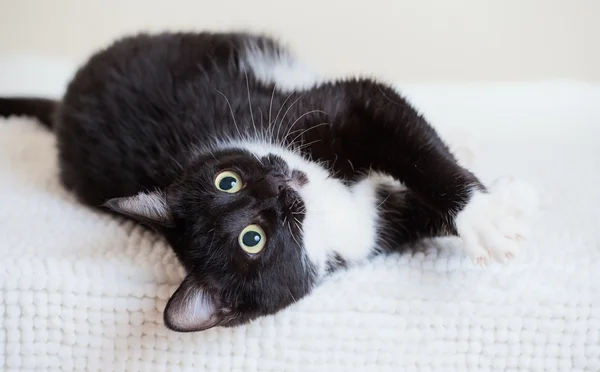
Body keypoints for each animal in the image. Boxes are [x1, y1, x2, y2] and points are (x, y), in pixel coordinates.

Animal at [0, 30, 536, 332]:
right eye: (252, 239)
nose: (278, 190)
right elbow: (412, 203)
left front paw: (484, 211)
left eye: (227, 182)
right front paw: (493, 209)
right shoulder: (373, 231)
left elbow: (397, 126)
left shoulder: (322, 112)